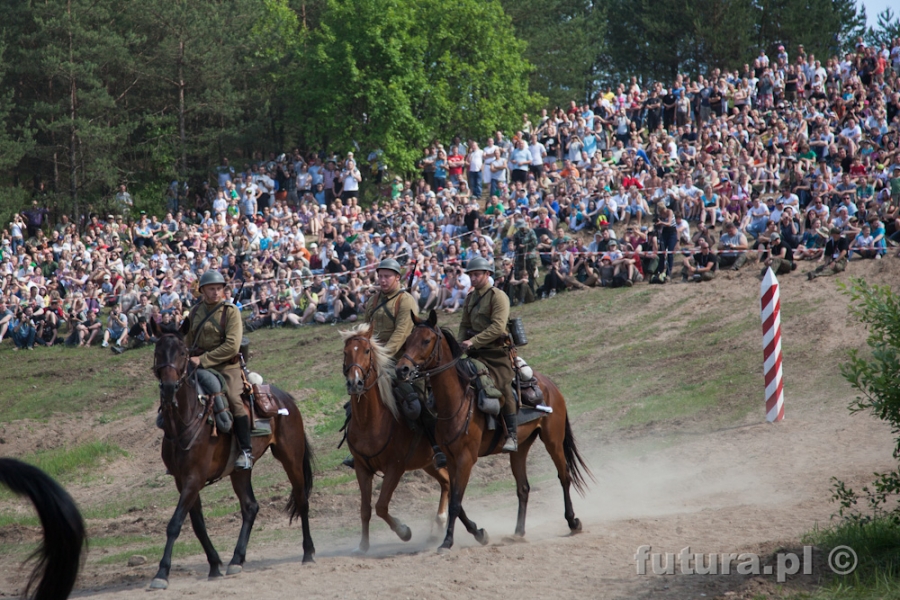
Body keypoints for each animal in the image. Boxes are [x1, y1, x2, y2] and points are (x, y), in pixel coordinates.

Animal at [149, 322, 314, 588]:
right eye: (158, 351)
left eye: (183, 353)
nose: (169, 387)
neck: (186, 421)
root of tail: (285, 398)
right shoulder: (182, 480)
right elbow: (197, 524)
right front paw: (215, 564)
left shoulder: (194, 478)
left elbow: (175, 524)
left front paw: (162, 573)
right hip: (239, 472)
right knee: (250, 507)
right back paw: (237, 559)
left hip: (291, 459)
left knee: (301, 500)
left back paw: (308, 552)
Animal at [342, 326, 488, 552]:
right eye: (345, 352)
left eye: (367, 351)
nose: (354, 383)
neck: (371, 421)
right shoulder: (361, 468)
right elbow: (365, 508)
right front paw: (363, 545)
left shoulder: (395, 468)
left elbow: (381, 506)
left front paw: (404, 531)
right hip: (428, 464)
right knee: (447, 483)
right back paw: (442, 526)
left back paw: (442, 523)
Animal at [396, 312, 592, 552]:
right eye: (407, 341)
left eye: (426, 340)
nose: (402, 370)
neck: (457, 400)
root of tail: (550, 385)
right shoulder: (451, 460)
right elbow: (456, 501)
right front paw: (478, 532)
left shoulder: (466, 459)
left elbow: (455, 502)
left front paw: (448, 541)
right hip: (520, 448)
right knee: (523, 488)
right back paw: (518, 533)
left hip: (553, 441)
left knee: (564, 476)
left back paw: (573, 521)